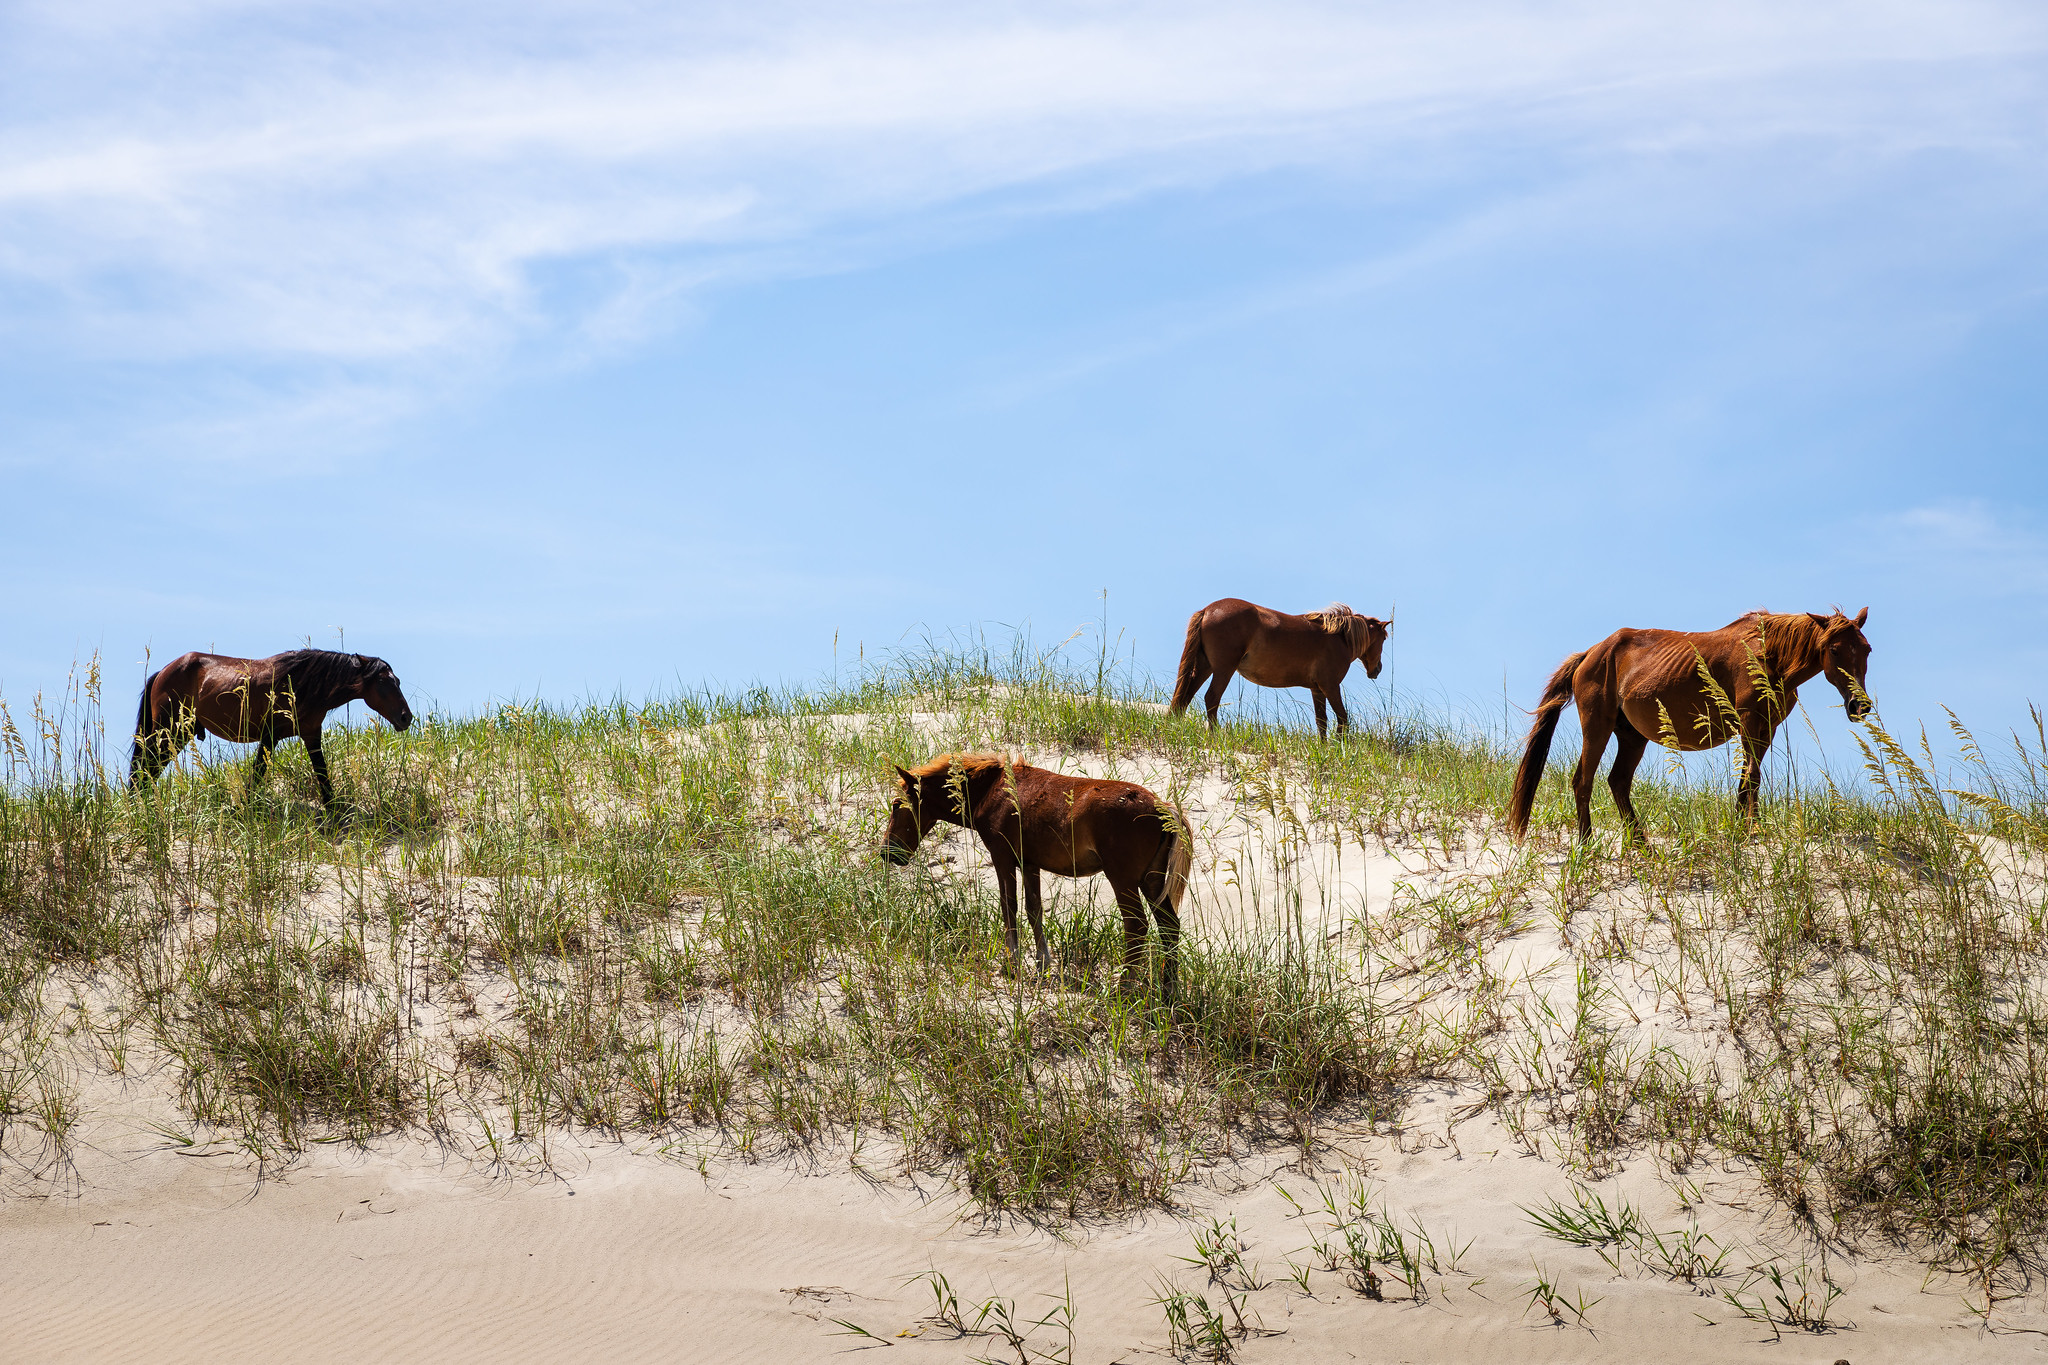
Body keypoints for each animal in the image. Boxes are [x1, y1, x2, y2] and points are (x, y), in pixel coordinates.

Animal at [130, 649, 415, 807]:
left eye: (398, 681)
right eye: (383, 682)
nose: (406, 717)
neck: (301, 684)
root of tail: (163, 671)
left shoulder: (311, 735)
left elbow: (323, 777)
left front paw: (336, 812)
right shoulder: (270, 737)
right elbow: (257, 776)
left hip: (176, 736)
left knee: (147, 771)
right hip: (167, 733)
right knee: (143, 769)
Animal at [882, 753, 1193, 999]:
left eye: (897, 804)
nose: (887, 852)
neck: (993, 791)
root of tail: (1162, 807)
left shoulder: (1003, 858)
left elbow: (1009, 907)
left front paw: (1011, 963)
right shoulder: (1030, 865)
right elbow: (1034, 911)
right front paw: (1043, 962)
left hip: (1123, 880)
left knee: (1137, 927)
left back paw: (1124, 987)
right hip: (1151, 881)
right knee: (1169, 927)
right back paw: (1169, 988)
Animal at [1169, 598, 1390, 738]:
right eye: (1384, 639)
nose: (1377, 669)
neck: (1339, 638)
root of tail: (1208, 610)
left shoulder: (1317, 689)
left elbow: (1322, 722)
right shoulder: (1330, 686)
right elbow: (1342, 718)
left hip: (1205, 667)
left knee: (1185, 697)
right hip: (1224, 669)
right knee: (1211, 699)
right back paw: (1216, 736)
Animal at [1507, 609, 1872, 843]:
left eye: (1867, 649)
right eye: (1834, 649)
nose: (1860, 706)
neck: (1768, 654)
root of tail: (1590, 654)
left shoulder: (1765, 728)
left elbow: (1747, 778)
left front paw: (1742, 827)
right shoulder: (1750, 722)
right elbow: (1752, 776)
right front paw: (1752, 828)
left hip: (1632, 736)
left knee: (1618, 782)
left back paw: (1641, 844)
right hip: (1597, 726)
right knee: (1583, 781)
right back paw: (1586, 844)